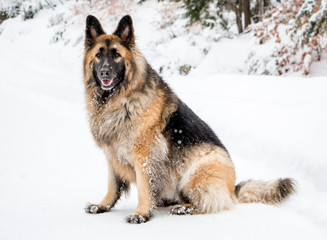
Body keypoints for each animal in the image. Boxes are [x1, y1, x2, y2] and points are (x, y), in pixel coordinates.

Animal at [83, 15, 296, 223]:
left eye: (116, 55)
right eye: (99, 55)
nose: (104, 72)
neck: (119, 100)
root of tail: (232, 189)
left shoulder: (145, 155)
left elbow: (144, 187)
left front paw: (142, 213)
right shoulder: (112, 155)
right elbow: (112, 185)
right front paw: (102, 205)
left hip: (199, 169)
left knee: (207, 203)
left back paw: (183, 208)